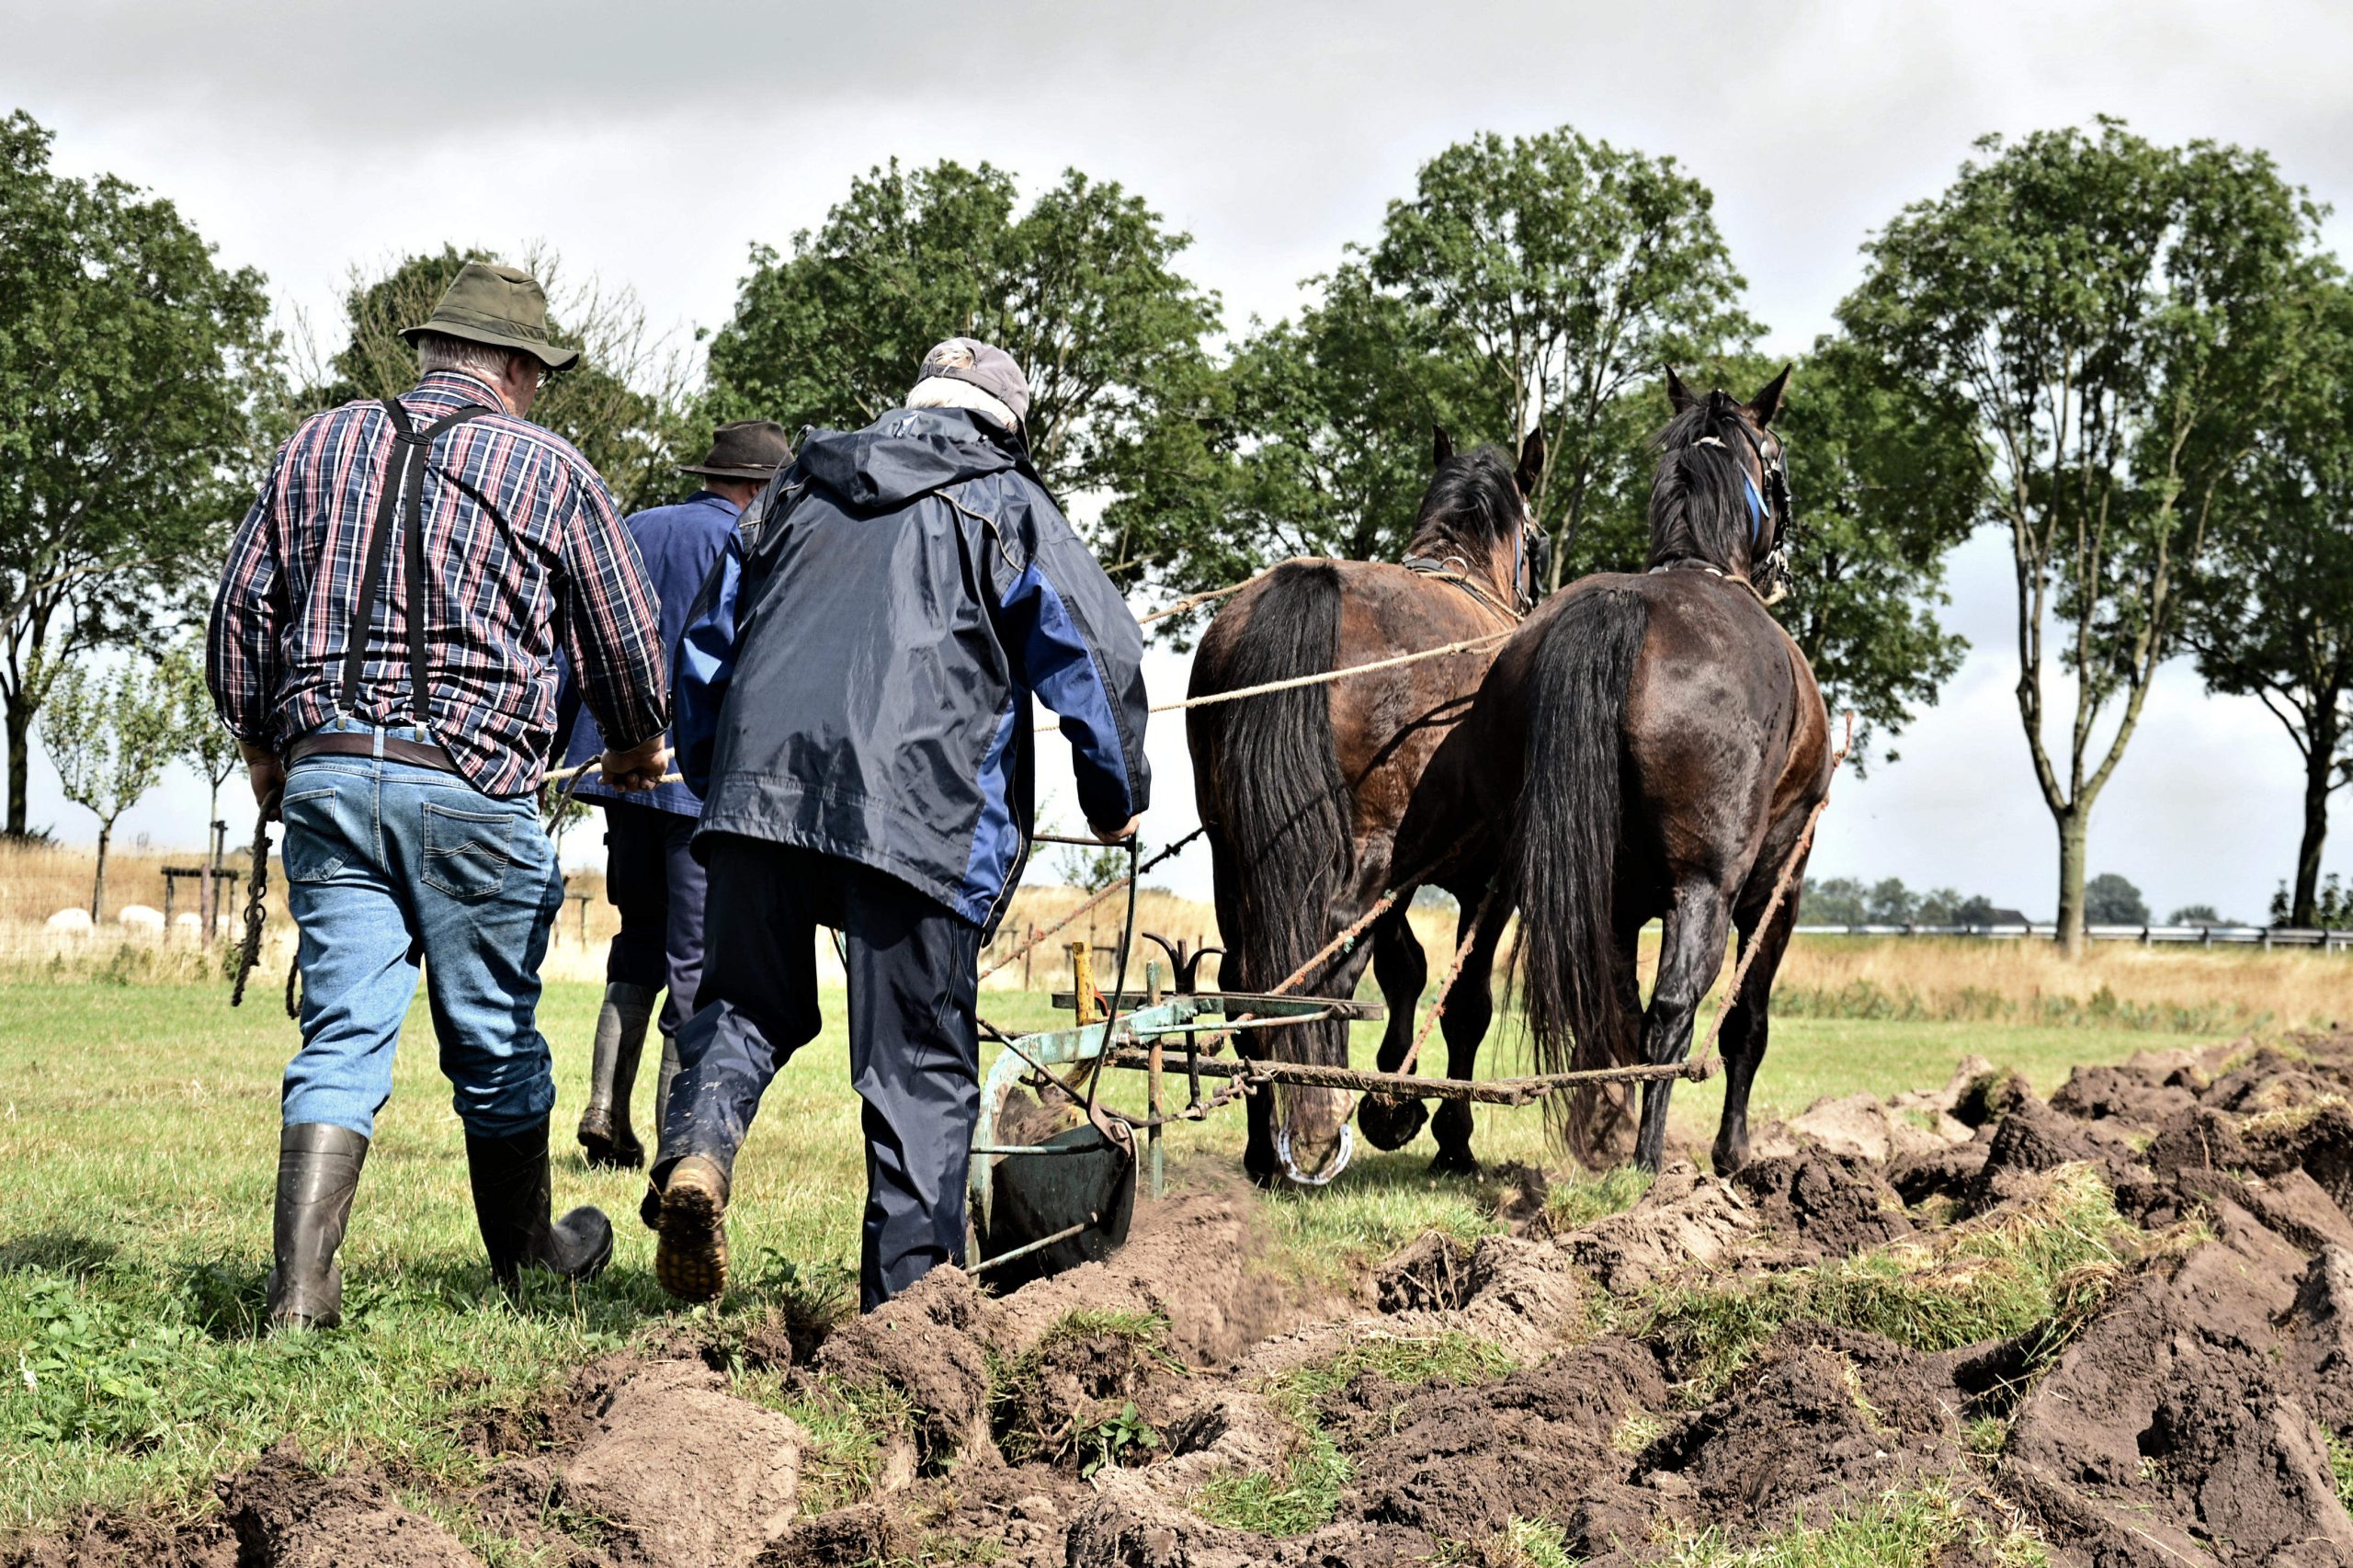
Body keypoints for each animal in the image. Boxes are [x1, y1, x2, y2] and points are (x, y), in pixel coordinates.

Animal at [1195, 421, 1543, 1176]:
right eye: (1537, 541)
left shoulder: (1409, 868)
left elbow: (1404, 966)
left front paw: (1394, 1099)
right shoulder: (1487, 876)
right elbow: (1465, 998)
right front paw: (1447, 1134)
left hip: (1232, 852)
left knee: (1248, 972)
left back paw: (1264, 1146)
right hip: (1367, 850)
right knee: (1328, 966)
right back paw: (1319, 1121)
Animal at [1392, 367, 1816, 1167]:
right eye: (1777, 463)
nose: (1783, 562)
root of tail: (1620, 611)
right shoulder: (1780, 881)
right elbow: (1745, 1024)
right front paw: (1732, 1154)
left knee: (1606, 1007)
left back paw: (1605, 1136)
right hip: (1705, 888)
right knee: (1673, 1012)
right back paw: (1648, 1161)